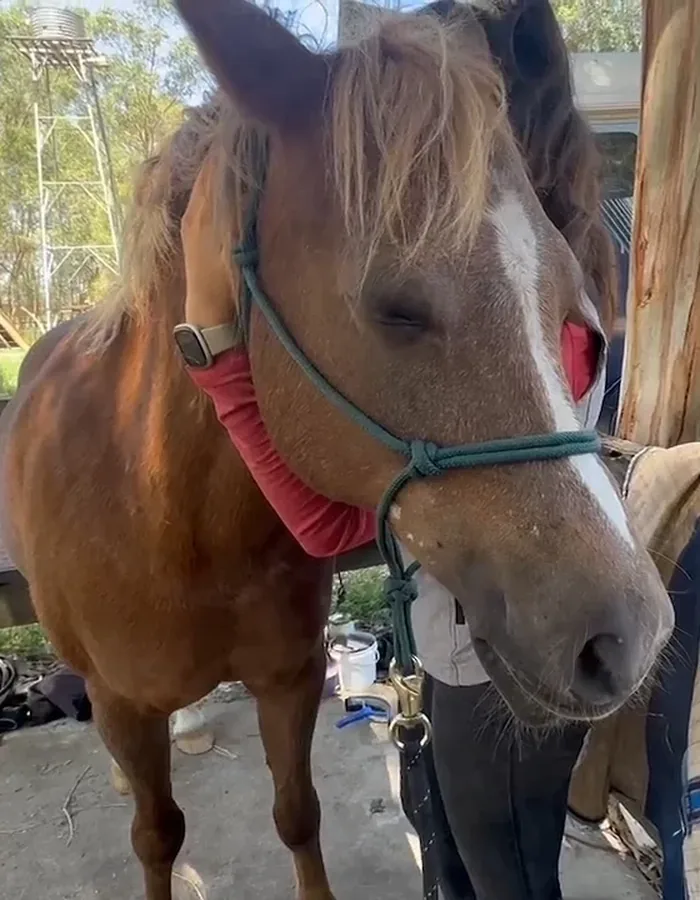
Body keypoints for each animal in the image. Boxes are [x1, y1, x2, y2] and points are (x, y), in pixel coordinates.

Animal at [0, 2, 673, 898]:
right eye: (395, 306)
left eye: (578, 323)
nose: (632, 638)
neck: (171, 516)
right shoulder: (123, 706)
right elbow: (157, 836)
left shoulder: (287, 681)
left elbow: (298, 814)